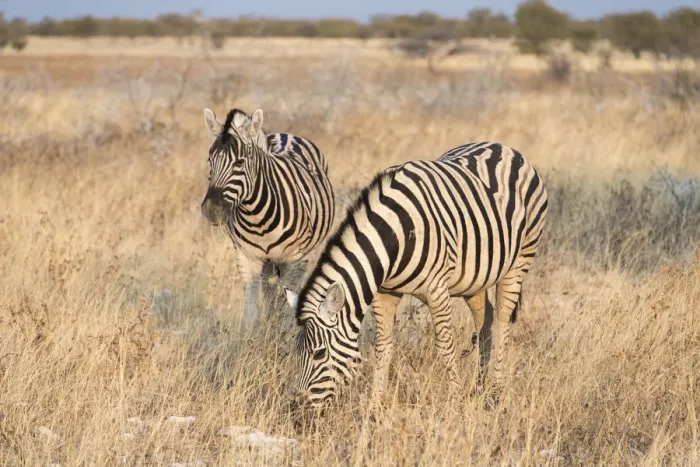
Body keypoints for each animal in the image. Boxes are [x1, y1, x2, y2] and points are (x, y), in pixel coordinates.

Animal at [201, 107, 335, 330]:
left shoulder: (293, 259)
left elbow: (286, 303)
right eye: (209, 161)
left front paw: (281, 333)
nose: (211, 210)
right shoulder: (246, 257)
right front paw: (252, 336)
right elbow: (251, 311)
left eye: (239, 162)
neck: (257, 218)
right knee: (269, 289)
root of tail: (285, 135)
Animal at [284, 142, 548, 409]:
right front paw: (375, 406)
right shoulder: (384, 293)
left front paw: (455, 399)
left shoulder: (437, 290)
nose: (297, 406)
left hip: (519, 262)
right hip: (475, 278)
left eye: (319, 353)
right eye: (297, 352)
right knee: (486, 321)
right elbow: (383, 346)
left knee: (502, 324)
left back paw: (495, 392)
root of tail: (503, 147)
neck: (394, 236)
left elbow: (445, 345)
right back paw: (480, 387)